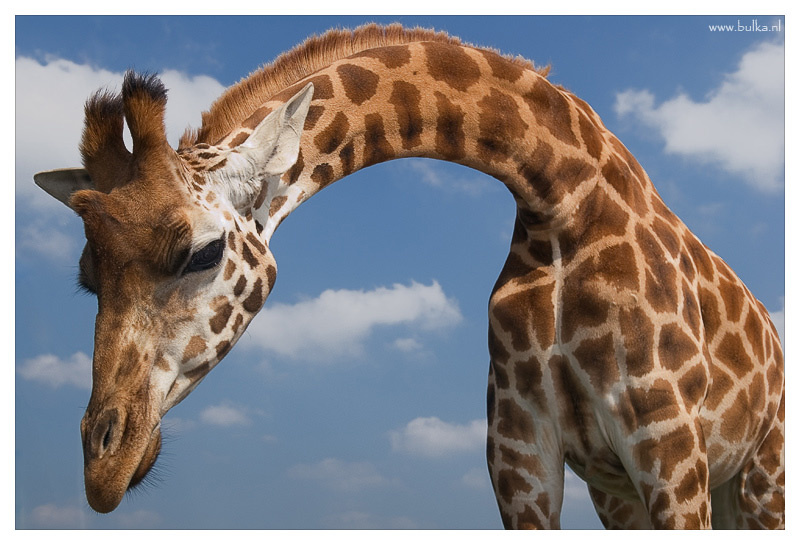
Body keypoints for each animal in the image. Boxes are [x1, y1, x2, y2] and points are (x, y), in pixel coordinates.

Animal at [34, 24, 783, 529]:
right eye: (87, 279)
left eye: (201, 253)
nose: (104, 467)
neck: (563, 201)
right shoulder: (524, 459)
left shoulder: (669, 451)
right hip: (628, 488)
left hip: (758, 474)